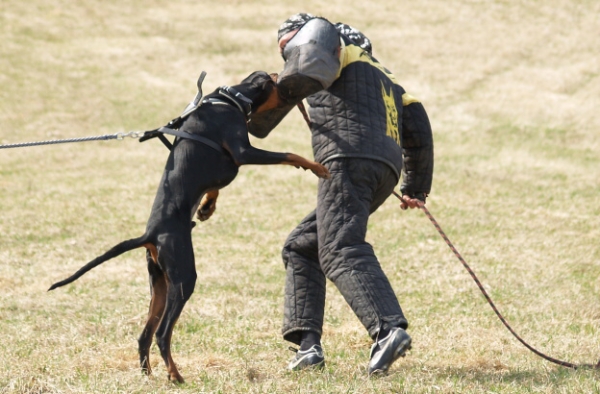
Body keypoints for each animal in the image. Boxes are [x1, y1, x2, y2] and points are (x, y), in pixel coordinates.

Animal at [47, 71, 330, 382]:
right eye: (277, 81)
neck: (229, 98)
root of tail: (150, 234)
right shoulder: (243, 153)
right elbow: (288, 154)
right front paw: (317, 167)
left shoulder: (226, 168)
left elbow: (215, 187)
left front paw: (206, 208)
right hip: (184, 278)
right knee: (162, 333)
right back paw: (176, 375)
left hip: (160, 284)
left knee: (145, 335)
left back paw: (149, 375)